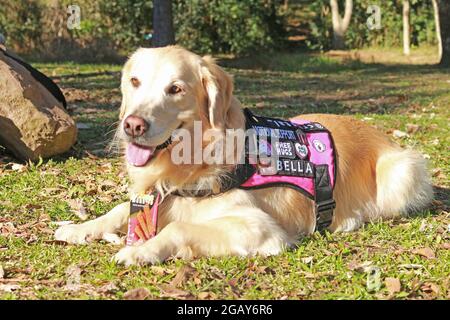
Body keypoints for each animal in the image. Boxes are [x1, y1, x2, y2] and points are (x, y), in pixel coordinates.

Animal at [54, 45, 434, 264]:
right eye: (134, 82)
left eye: (175, 89)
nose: (133, 125)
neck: (192, 159)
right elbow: (119, 209)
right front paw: (80, 227)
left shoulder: (258, 227)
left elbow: (179, 229)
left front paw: (139, 250)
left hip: (402, 169)